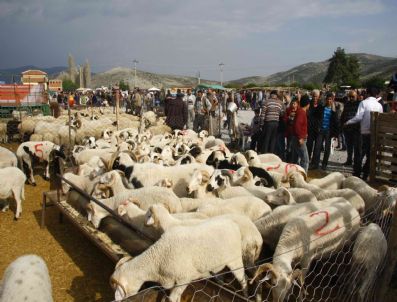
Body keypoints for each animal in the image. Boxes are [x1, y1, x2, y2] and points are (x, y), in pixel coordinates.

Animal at [110, 218, 246, 300]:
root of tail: (233, 223)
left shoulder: (184, 278)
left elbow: (172, 298)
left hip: (235, 259)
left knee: (243, 278)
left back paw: (245, 293)